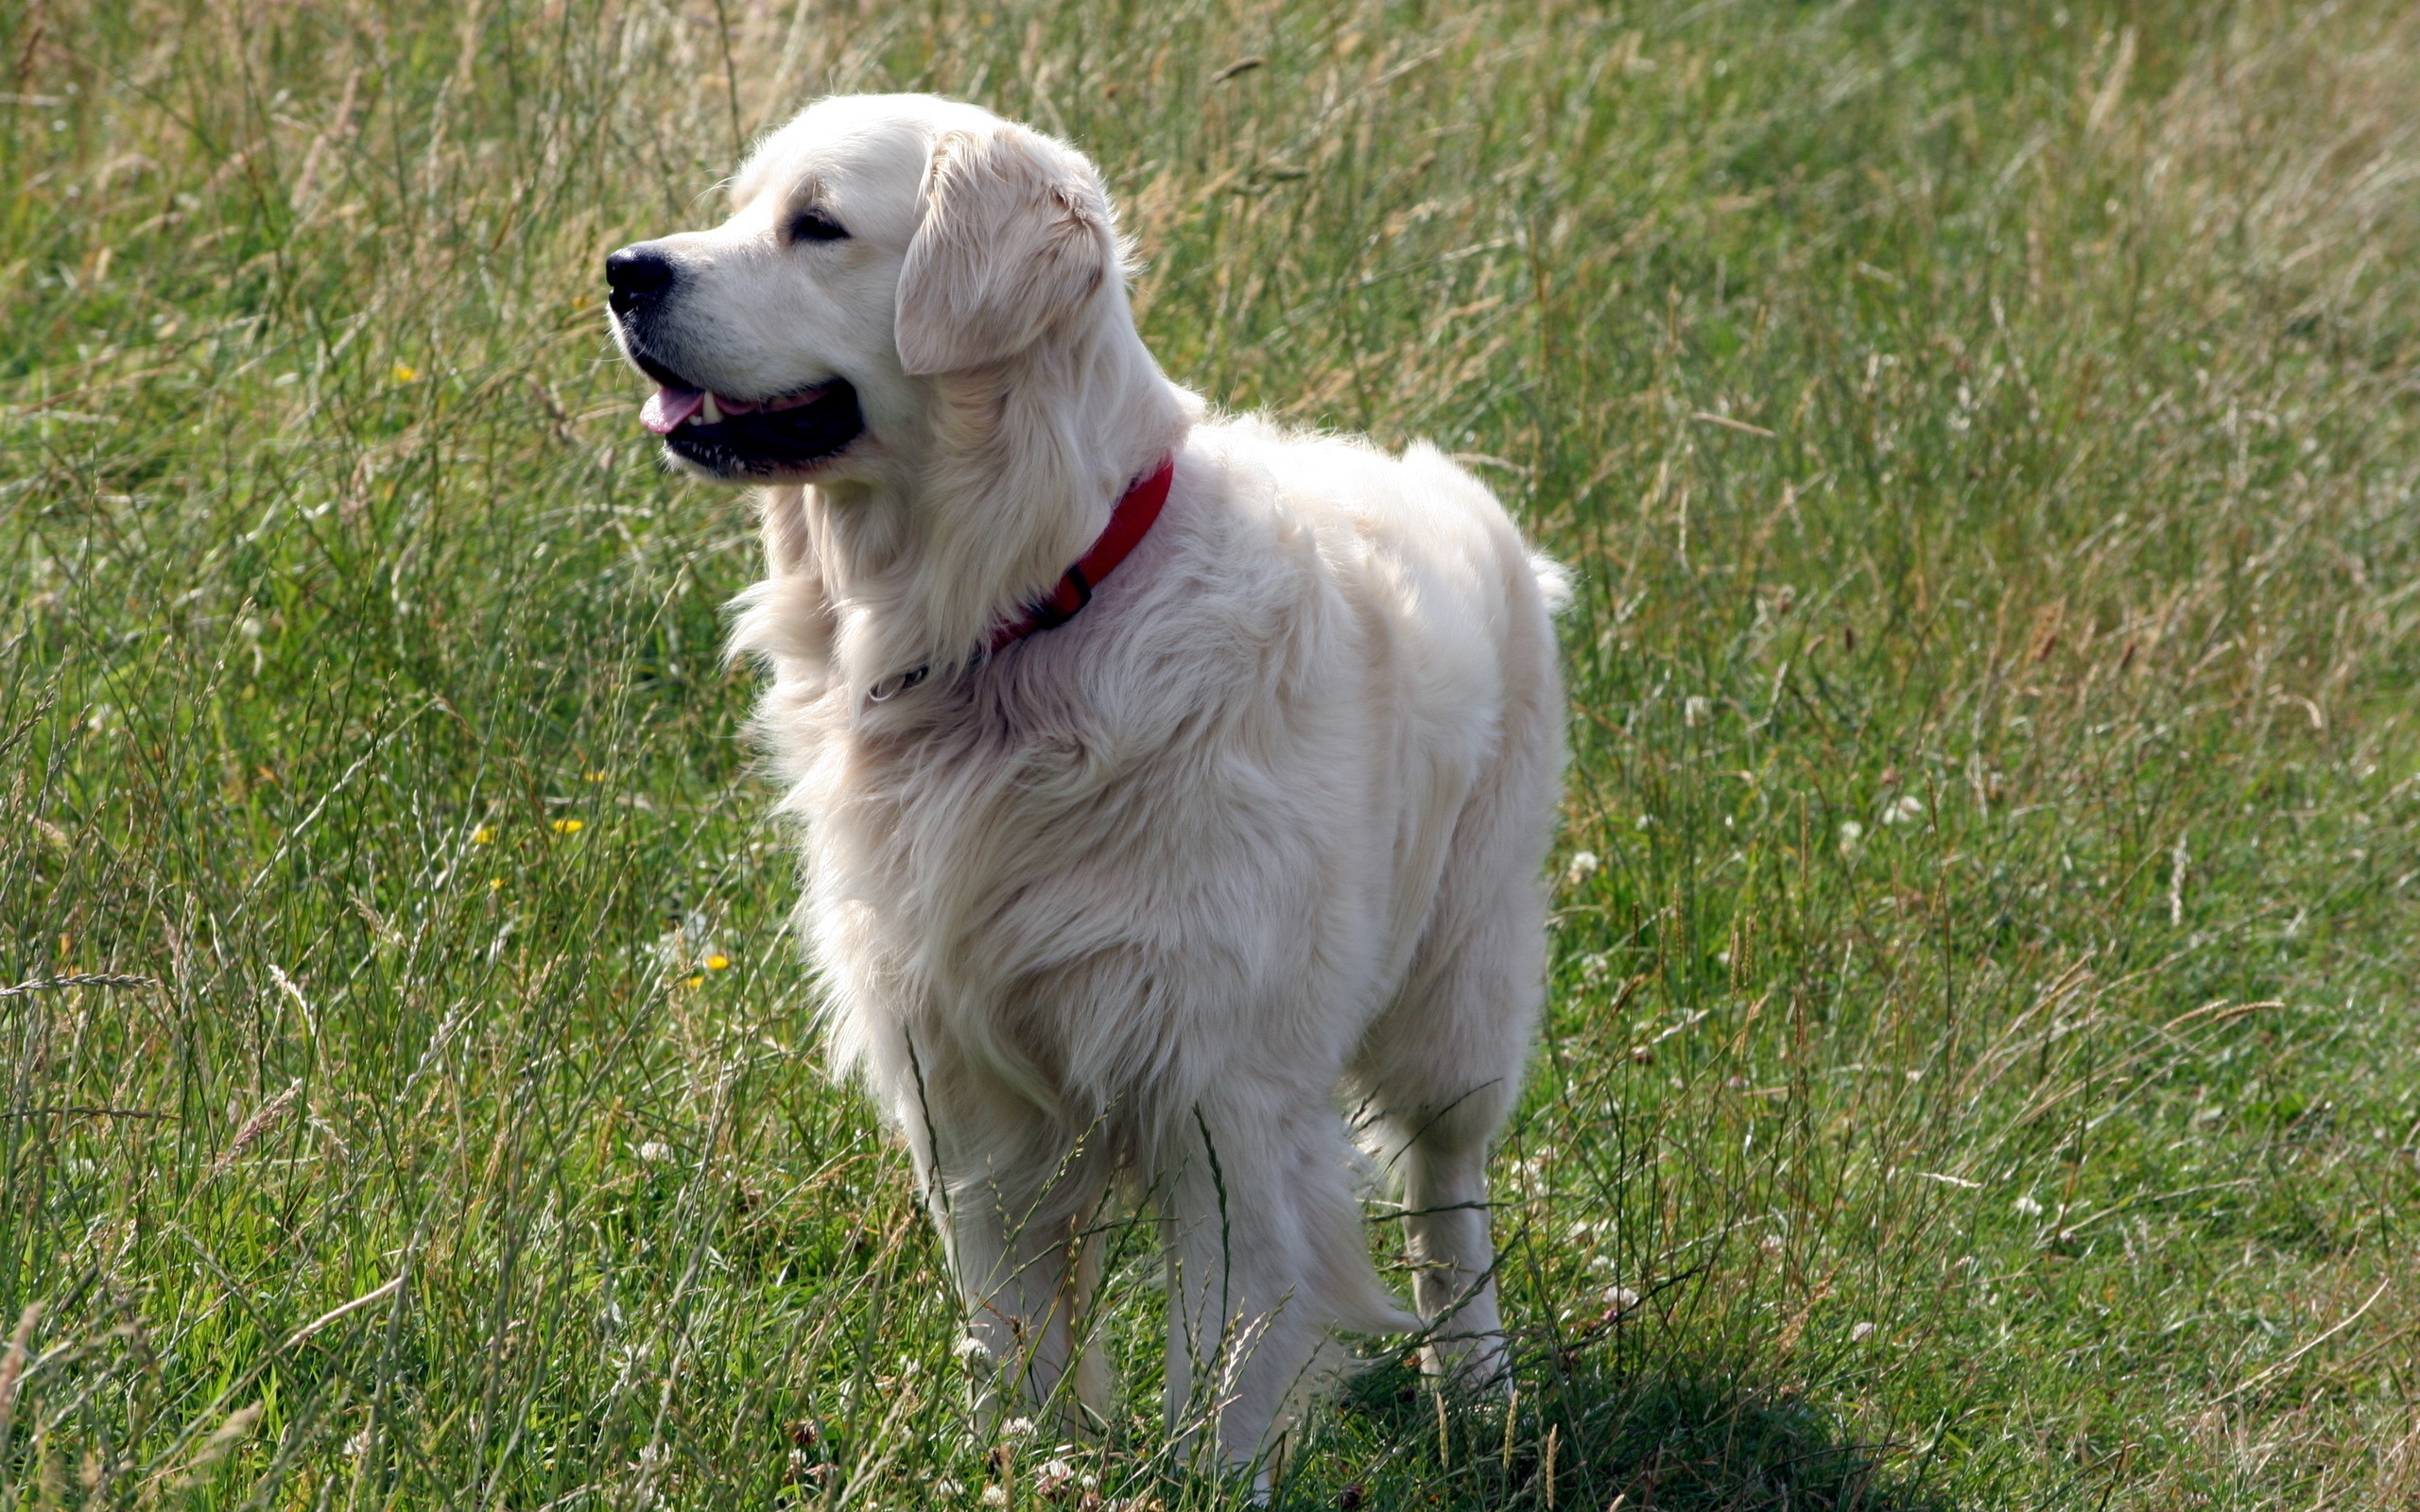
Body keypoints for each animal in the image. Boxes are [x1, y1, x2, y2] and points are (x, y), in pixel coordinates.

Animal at [605, 91, 1567, 1470]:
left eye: (817, 225)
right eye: (739, 210)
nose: (624, 271)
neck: (1021, 616)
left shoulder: (1225, 1087)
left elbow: (1227, 1346)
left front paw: (1211, 1476)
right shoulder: (964, 1073)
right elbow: (1015, 1315)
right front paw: (1023, 1456)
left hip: (1463, 989)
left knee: (1451, 1191)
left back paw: (1479, 1387)